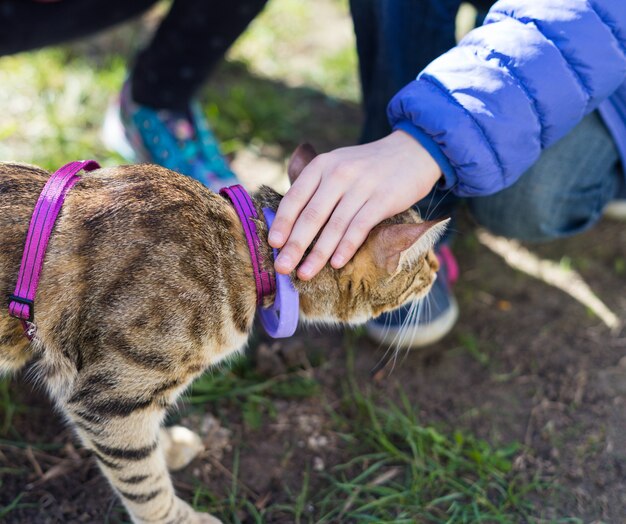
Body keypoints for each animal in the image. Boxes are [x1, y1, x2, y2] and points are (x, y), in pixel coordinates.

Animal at [2, 145, 446, 524]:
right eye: (423, 262)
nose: (439, 266)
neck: (249, 256)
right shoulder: (106, 395)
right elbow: (143, 480)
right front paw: (177, 517)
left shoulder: (85, 382)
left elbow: (142, 448)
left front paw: (166, 446)